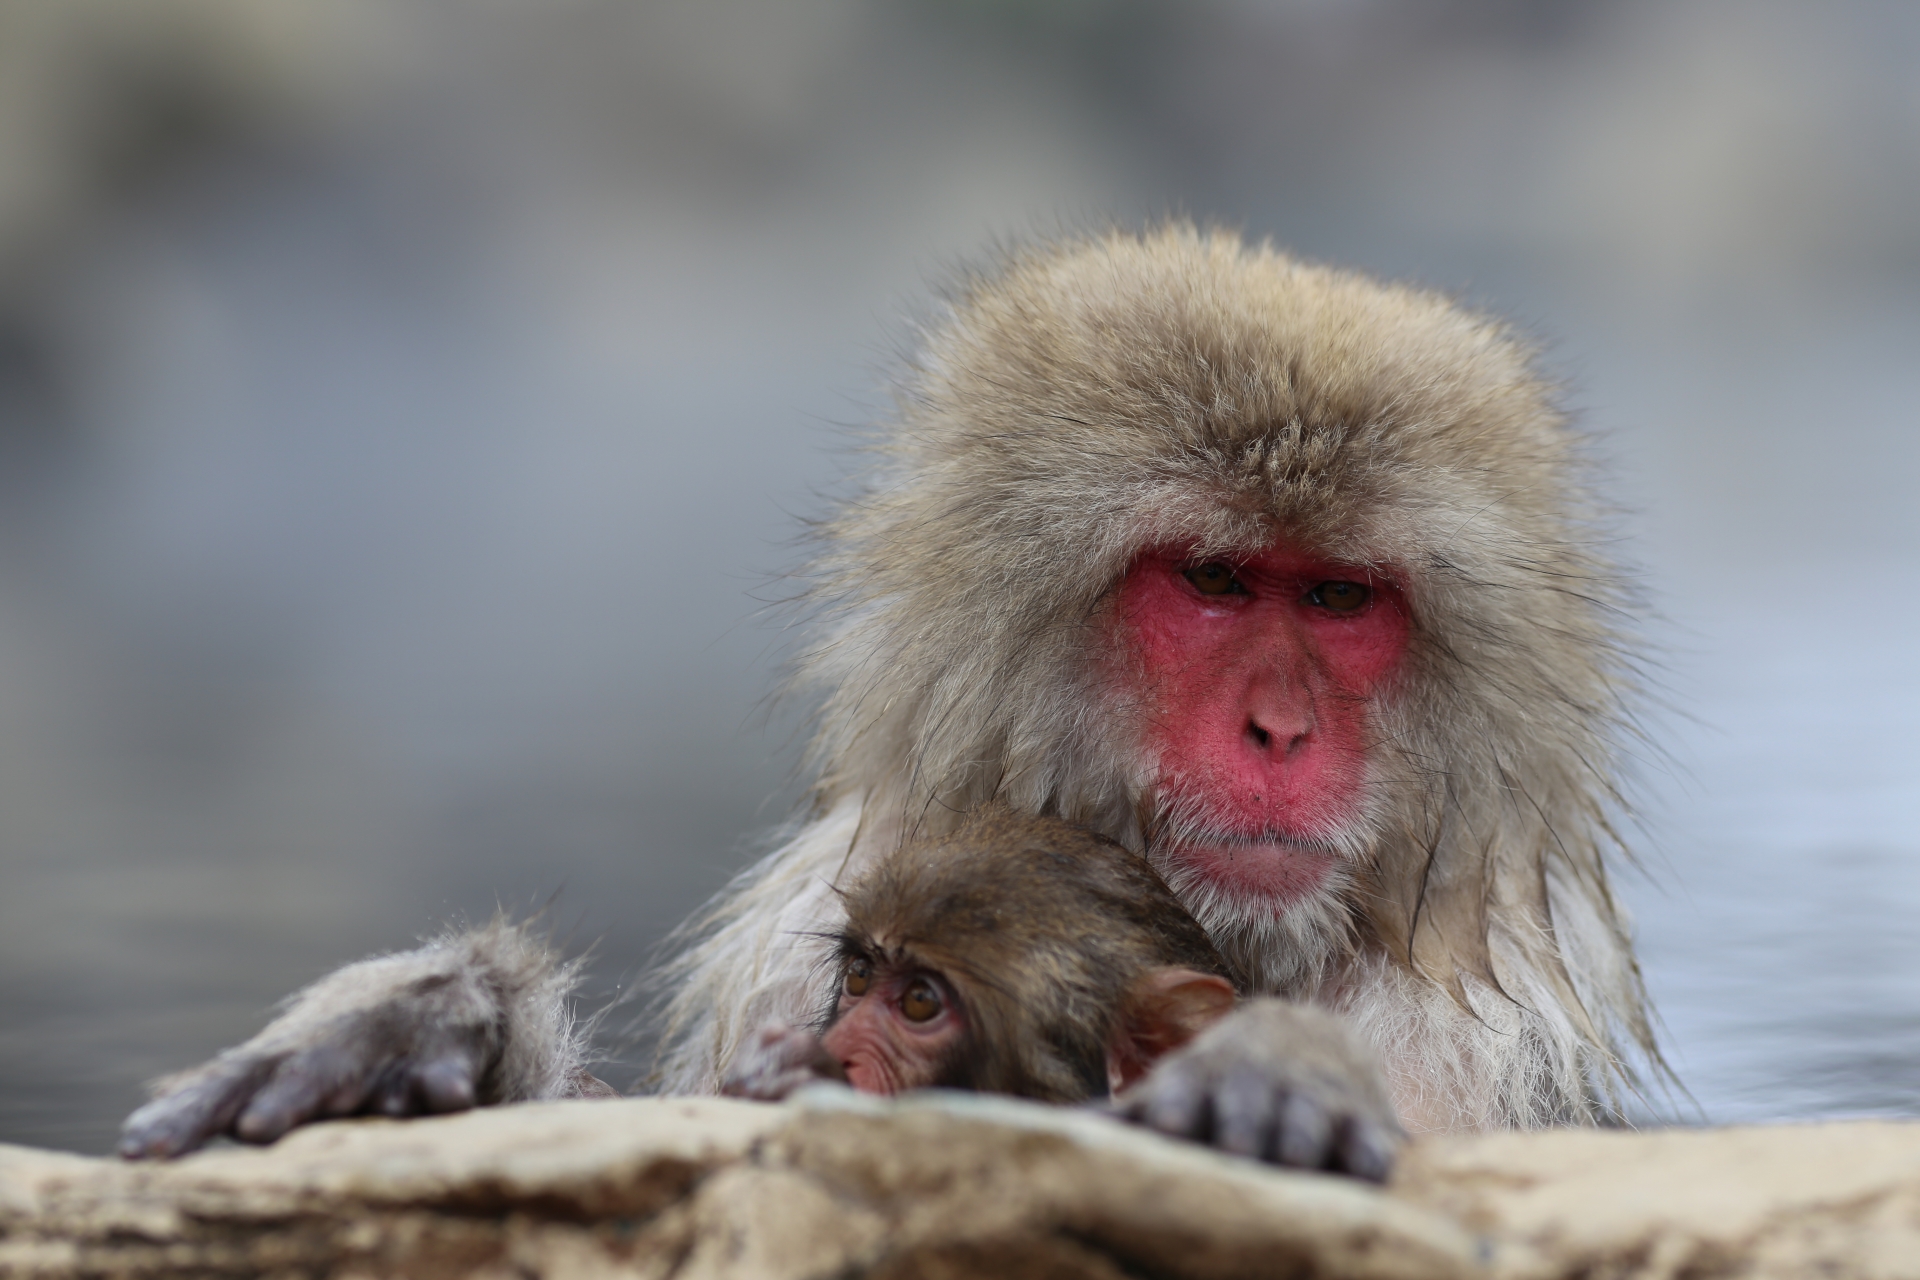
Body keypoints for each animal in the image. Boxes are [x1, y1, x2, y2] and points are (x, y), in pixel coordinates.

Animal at [120, 225, 1658, 1166]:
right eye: (1217, 580)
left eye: (1339, 600)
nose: (1280, 731)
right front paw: (428, 1020)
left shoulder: (1469, 1041)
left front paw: (1286, 1069)